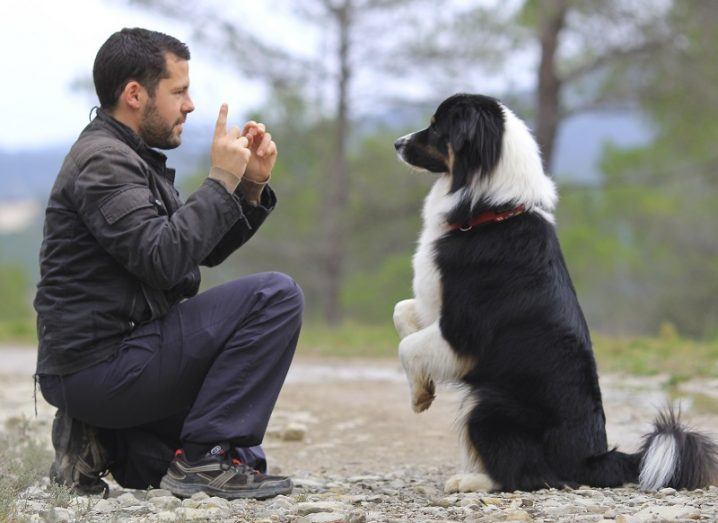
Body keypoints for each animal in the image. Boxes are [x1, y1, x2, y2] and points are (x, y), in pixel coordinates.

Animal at [394, 92, 718, 494]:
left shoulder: (463, 330)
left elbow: (408, 346)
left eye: (437, 127)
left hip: (487, 405)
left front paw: (419, 397)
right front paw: (422, 388)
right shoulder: (435, 306)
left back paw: (471, 481)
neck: (491, 210)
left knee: (531, 476)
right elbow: (402, 313)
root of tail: (591, 458)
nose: (397, 144)